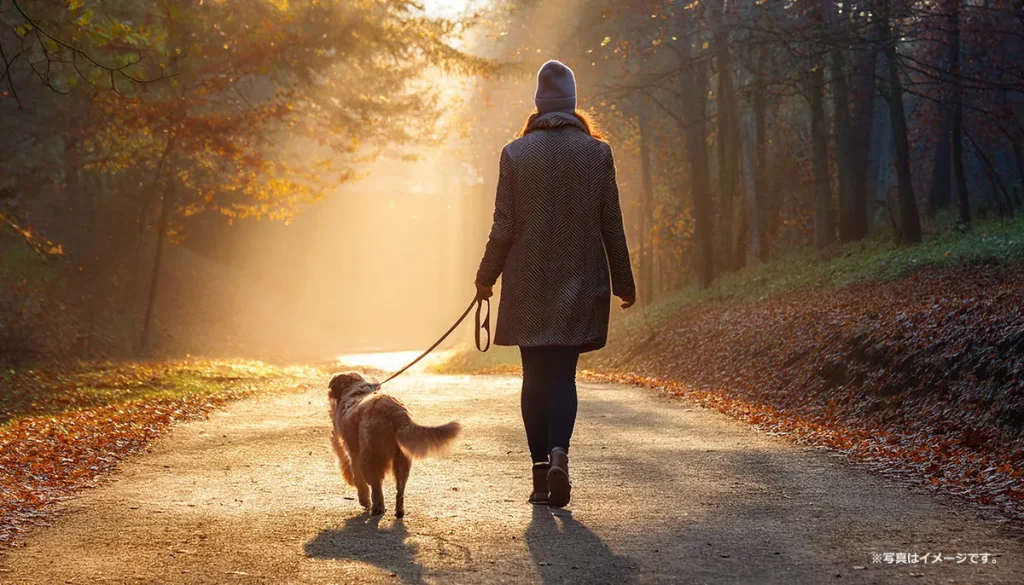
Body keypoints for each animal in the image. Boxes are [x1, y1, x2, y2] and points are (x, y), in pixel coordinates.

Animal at [327, 374, 460, 516]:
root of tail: (395, 411)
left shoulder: (353, 453)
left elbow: (359, 480)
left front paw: (364, 501)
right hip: (402, 459)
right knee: (400, 488)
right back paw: (399, 511)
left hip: (369, 456)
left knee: (376, 485)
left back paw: (377, 508)